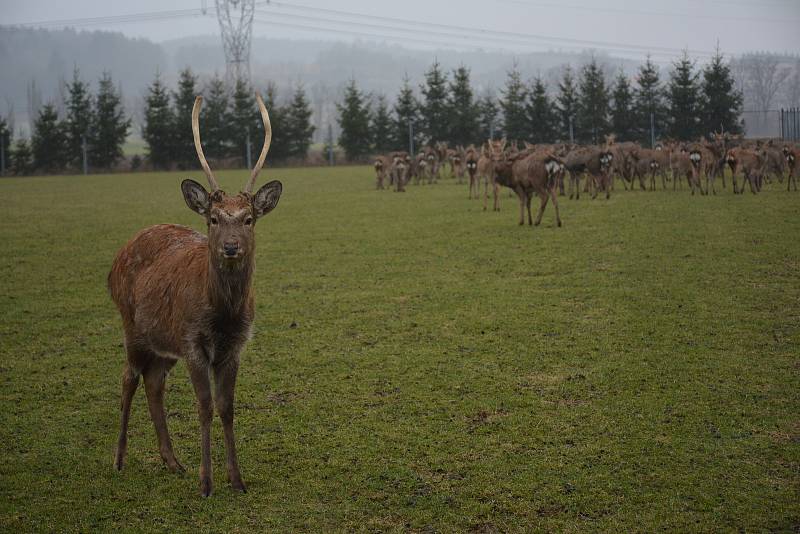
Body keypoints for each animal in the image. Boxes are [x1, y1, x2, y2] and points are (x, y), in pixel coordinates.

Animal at [106, 94, 282, 500]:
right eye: (214, 218)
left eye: (248, 218)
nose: (231, 247)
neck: (223, 317)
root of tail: (116, 260)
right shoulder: (192, 343)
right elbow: (204, 407)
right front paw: (207, 483)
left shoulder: (235, 346)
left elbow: (227, 407)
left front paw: (236, 479)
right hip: (132, 327)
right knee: (128, 379)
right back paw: (119, 460)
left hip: (162, 344)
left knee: (154, 383)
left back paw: (173, 462)